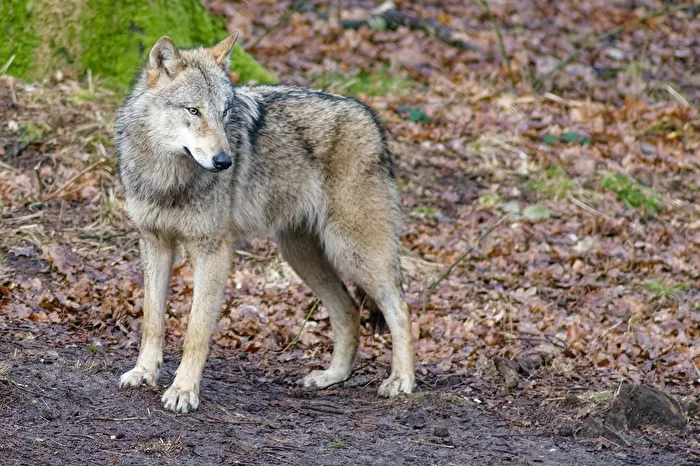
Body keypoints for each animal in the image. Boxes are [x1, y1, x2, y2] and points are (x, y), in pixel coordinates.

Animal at [114, 33, 415, 413]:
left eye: (224, 113)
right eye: (194, 111)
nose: (224, 161)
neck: (167, 178)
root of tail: (373, 119)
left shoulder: (213, 251)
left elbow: (195, 331)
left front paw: (183, 391)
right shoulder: (154, 242)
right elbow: (152, 320)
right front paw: (144, 373)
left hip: (352, 252)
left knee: (400, 307)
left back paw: (402, 380)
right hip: (301, 255)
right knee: (349, 310)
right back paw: (331, 377)